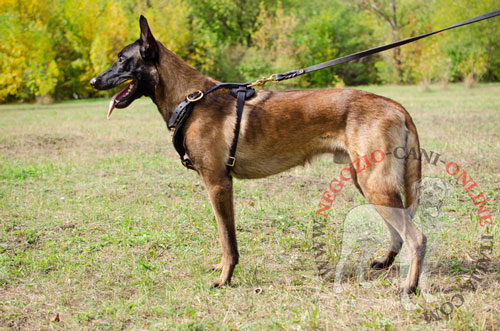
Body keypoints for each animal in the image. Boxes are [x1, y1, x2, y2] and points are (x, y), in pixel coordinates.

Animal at [92, 16, 424, 294]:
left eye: (122, 60)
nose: (94, 81)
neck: (191, 100)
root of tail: (397, 106)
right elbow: (225, 237)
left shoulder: (218, 185)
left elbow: (227, 239)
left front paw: (225, 278)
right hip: (368, 184)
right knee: (398, 233)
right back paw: (385, 264)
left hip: (375, 185)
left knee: (416, 237)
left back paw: (409, 286)